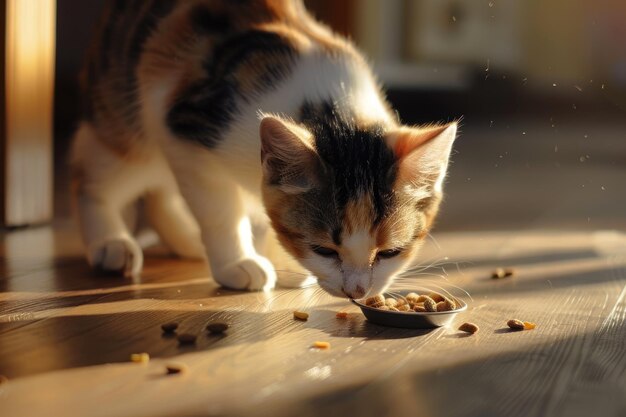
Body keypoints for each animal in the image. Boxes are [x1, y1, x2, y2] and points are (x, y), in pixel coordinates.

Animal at [72, 0, 454, 300]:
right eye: (323, 249)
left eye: (390, 252)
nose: (357, 292)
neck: (332, 110)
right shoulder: (185, 130)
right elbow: (220, 209)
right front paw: (238, 263)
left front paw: (285, 262)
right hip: (128, 122)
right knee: (95, 176)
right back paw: (111, 243)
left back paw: (187, 239)